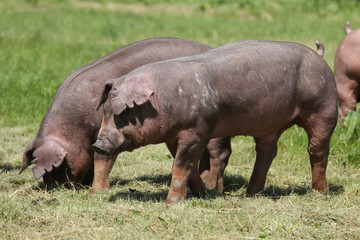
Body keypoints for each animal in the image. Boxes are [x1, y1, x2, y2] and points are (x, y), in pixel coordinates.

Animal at [20, 38, 231, 195]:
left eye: (59, 167)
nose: (52, 189)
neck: (75, 128)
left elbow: (102, 158)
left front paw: (98, 190)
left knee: (219, 153)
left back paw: (214, 187)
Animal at [93, 39, 338, 204]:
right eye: (105, 111)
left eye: (123, 115)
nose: (98, 144)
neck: (163, 99)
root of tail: (318, 55)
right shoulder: (173, 136)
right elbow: (189, 166)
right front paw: (204, 194)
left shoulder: (197, 129)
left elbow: (181, 165)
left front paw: (171, 204)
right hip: (270, 127)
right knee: (267, 152)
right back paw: (251, 195)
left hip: (324, 107)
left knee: (317, 149)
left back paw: (319, 193)